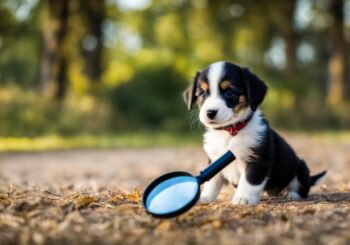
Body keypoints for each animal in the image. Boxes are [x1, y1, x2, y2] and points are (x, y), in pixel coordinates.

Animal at [183, 60, 326, 205]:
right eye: (203, 94)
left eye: (229, 92)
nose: (210, 112)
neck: (230, 131)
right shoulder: (214, 159)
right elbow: (212, 181)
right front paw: (205, 197)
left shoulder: (258, 159)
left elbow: (249, 181)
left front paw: (243, 198)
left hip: (301, 168)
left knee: (300, 188)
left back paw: (291, 195)